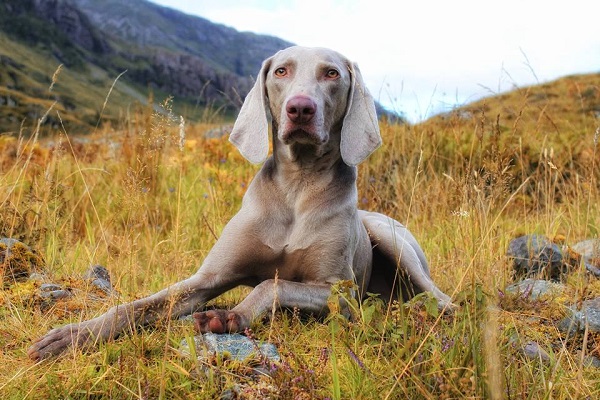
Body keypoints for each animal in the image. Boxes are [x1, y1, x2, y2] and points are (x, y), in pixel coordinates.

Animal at [28, 45, 450, 360]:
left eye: (332, 74)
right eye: (281, 71)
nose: (300, 108)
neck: (297, 186)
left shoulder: (340, 292)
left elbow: (270, 285)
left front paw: (228, 316)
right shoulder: (205, 279)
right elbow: (139, 305)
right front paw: (72, 335)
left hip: (388, 237)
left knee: (441, 299)